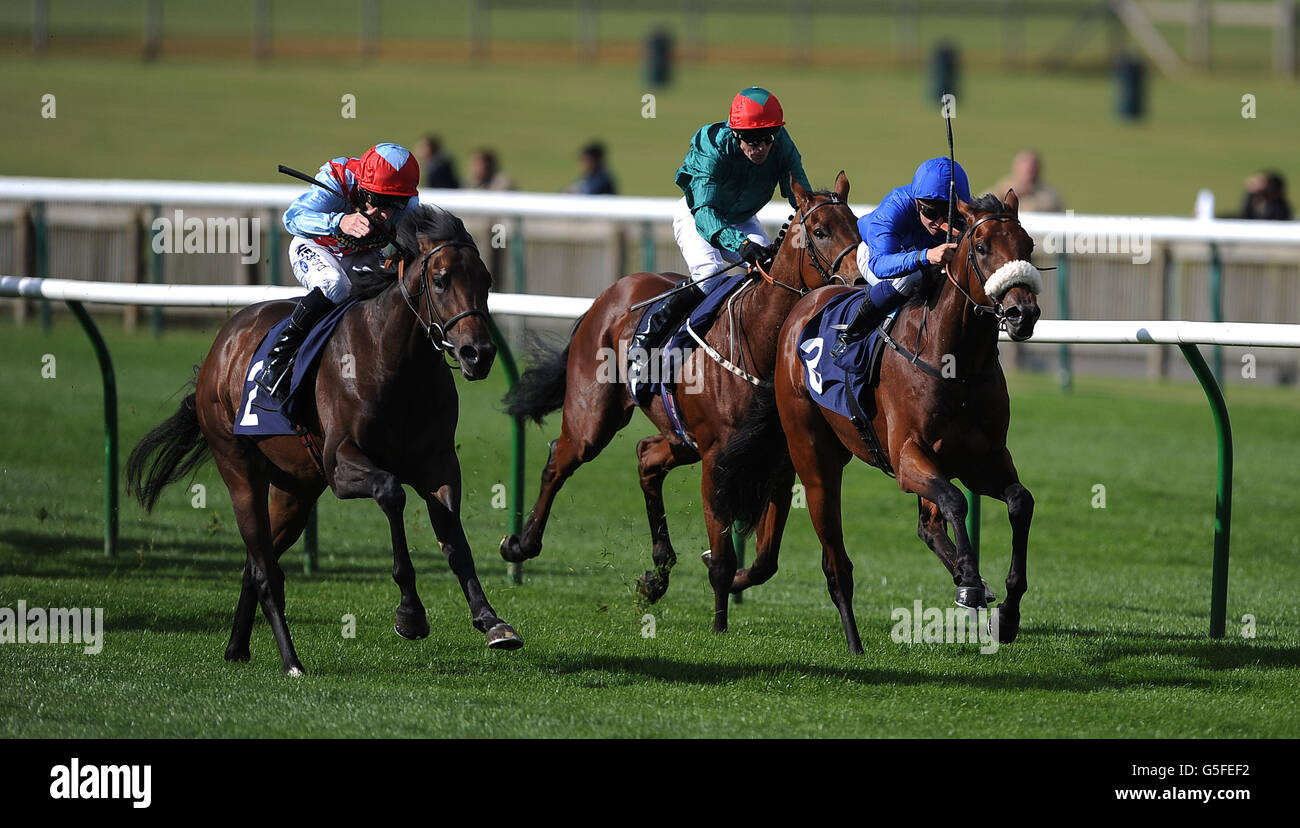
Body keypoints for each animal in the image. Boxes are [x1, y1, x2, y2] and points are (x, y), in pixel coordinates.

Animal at [126, 204, 520, 675]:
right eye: (440, 279)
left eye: (486, 280)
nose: (479, 354)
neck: (395, 362)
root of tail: (222, 346)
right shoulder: (341, 465)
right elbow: (391, 493)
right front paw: (410, 613)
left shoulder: (438, 463)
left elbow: (455, 540)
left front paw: (492, 620)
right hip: (238, 467)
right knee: (265, 570)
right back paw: (291, 660)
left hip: (294, 490)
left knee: (255, 562)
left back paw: (237, 647)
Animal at [501, 172, 857, 631]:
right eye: (820, 230)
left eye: (857, 226)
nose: (859, 281)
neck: (757, 338)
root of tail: (612, 291)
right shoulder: (716, 457)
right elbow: (723, 559)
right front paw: (719, 629)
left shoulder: (779, 461)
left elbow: (764, 561)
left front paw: (726, 584)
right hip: (594, 419)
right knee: (559, 459)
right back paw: (520, 545)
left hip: (680, 438)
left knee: (646, 458)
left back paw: (657, 574)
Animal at [717, 191, 1040, 649]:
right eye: (981, 248)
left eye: (1027, 245)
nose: (1021, 313)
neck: (954, 362)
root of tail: (803, 305)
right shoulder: (908, 457)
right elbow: (955, 501)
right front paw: (971, 583)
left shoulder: (984, 458)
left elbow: (1018, 502)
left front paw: (1007, 613)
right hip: (814, 458)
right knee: (836, 558)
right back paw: (854, 641)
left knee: (928, 524)